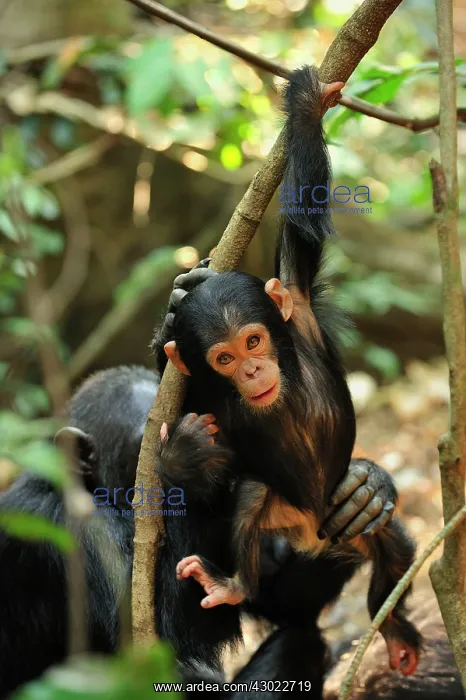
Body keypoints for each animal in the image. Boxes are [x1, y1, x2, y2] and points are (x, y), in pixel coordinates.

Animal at [153, 65, 422, 680]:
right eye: (225, 358)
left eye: (254, 340)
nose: (253, 368)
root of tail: (312, 531)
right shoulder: (209, 395)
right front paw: (184, 452)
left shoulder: (295, 300)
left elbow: (304, 220)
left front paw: (304, 102)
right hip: (280, 513)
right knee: (251, 503)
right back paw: (232, 584)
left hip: (352, 529)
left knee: (393, 548)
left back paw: (396, 627)